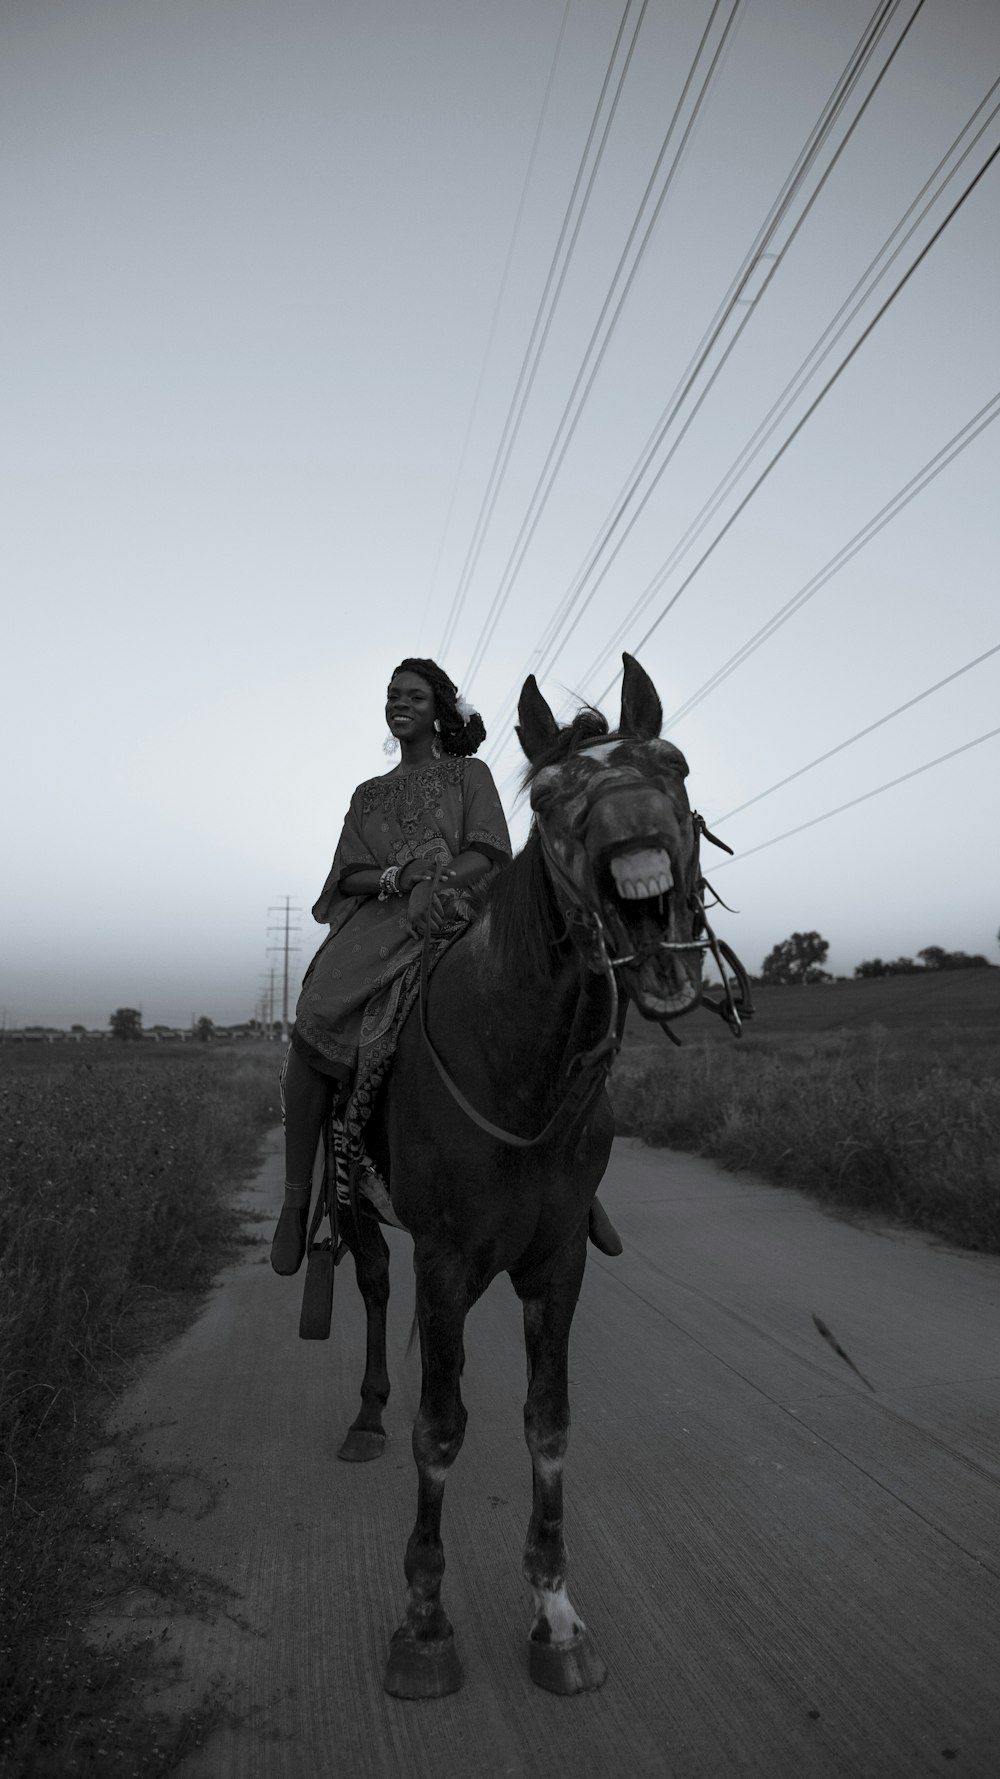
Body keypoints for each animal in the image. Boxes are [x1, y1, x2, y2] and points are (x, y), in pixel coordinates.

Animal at [323, 651, 743, 1693]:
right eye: (550, 796)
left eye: (673, 762)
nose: (634, 831)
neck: (520, 1072)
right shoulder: (443, 1260)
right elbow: (440, 1425)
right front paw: (423, 1623)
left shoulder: (557, 1261)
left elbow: (546, 1421)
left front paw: (555, 1612)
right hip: (363, 1212)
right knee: (375, 1287)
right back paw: (366, 1418)